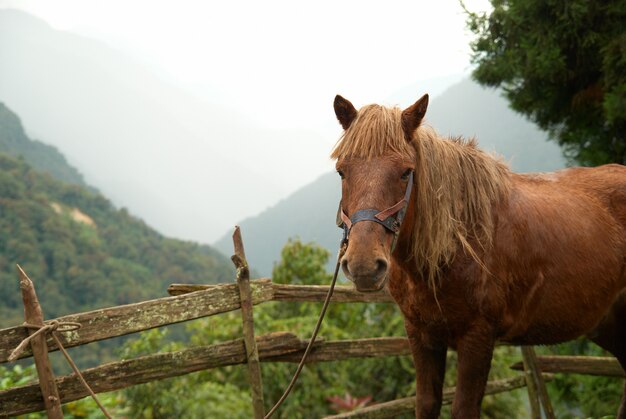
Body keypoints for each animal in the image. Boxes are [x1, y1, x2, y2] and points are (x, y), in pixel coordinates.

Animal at [332, 93, 624, 418]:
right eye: (342, 171)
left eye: (406, 171)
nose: (363, 266)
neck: (456, 244)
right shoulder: (421, 336)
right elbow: (426, 403)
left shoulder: (477, 338)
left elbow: (464, 408)